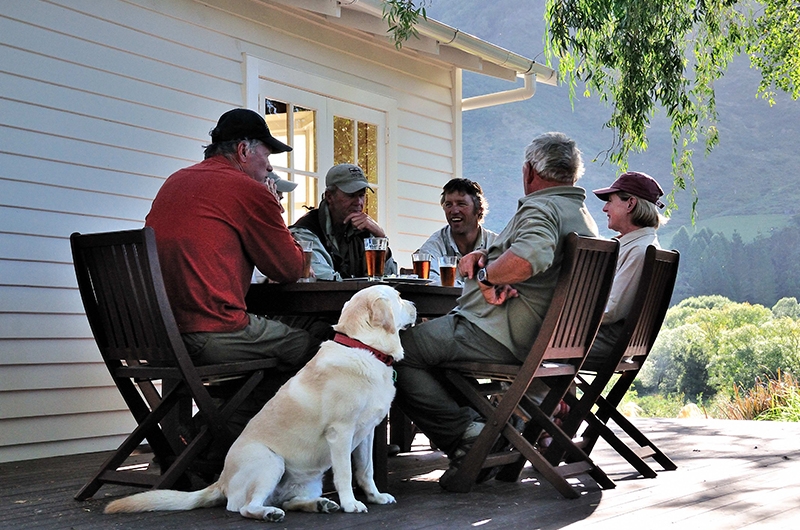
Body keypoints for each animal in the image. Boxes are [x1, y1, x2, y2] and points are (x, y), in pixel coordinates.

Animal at [105, 284, 416, 520]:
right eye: (399, 298)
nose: (414, 304)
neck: (364, 349)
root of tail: (221, 481)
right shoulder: (340, 433)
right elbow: (345, 474)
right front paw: (352, 503)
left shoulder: (367, 432)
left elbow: (366, 470)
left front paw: (376, 496)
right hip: (270, 462)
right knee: (245, 507)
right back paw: (269, 513)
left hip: (308, 480)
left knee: (287, 501)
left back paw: (318, 504)